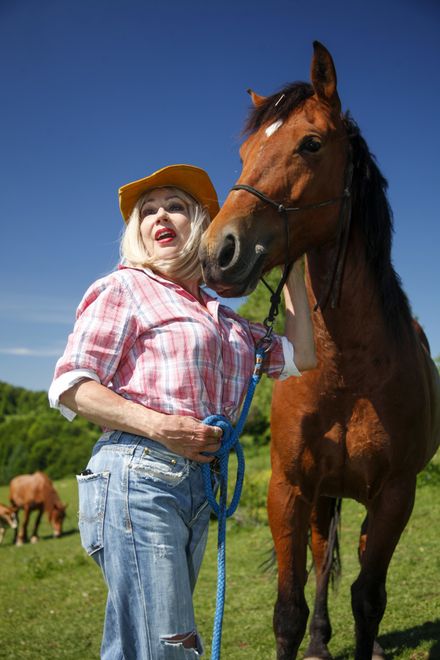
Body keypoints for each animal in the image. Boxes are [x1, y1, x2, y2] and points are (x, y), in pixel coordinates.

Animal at [199, 42, 440, 660]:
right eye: (245, 151)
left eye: (310, 144)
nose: (217, 251)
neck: (346, 373)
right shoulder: (289, 490)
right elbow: (289, 608)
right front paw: (307, 638)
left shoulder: (395, 495)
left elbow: (369, 599)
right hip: (322, 499)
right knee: (321, 556)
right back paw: (319, 643)